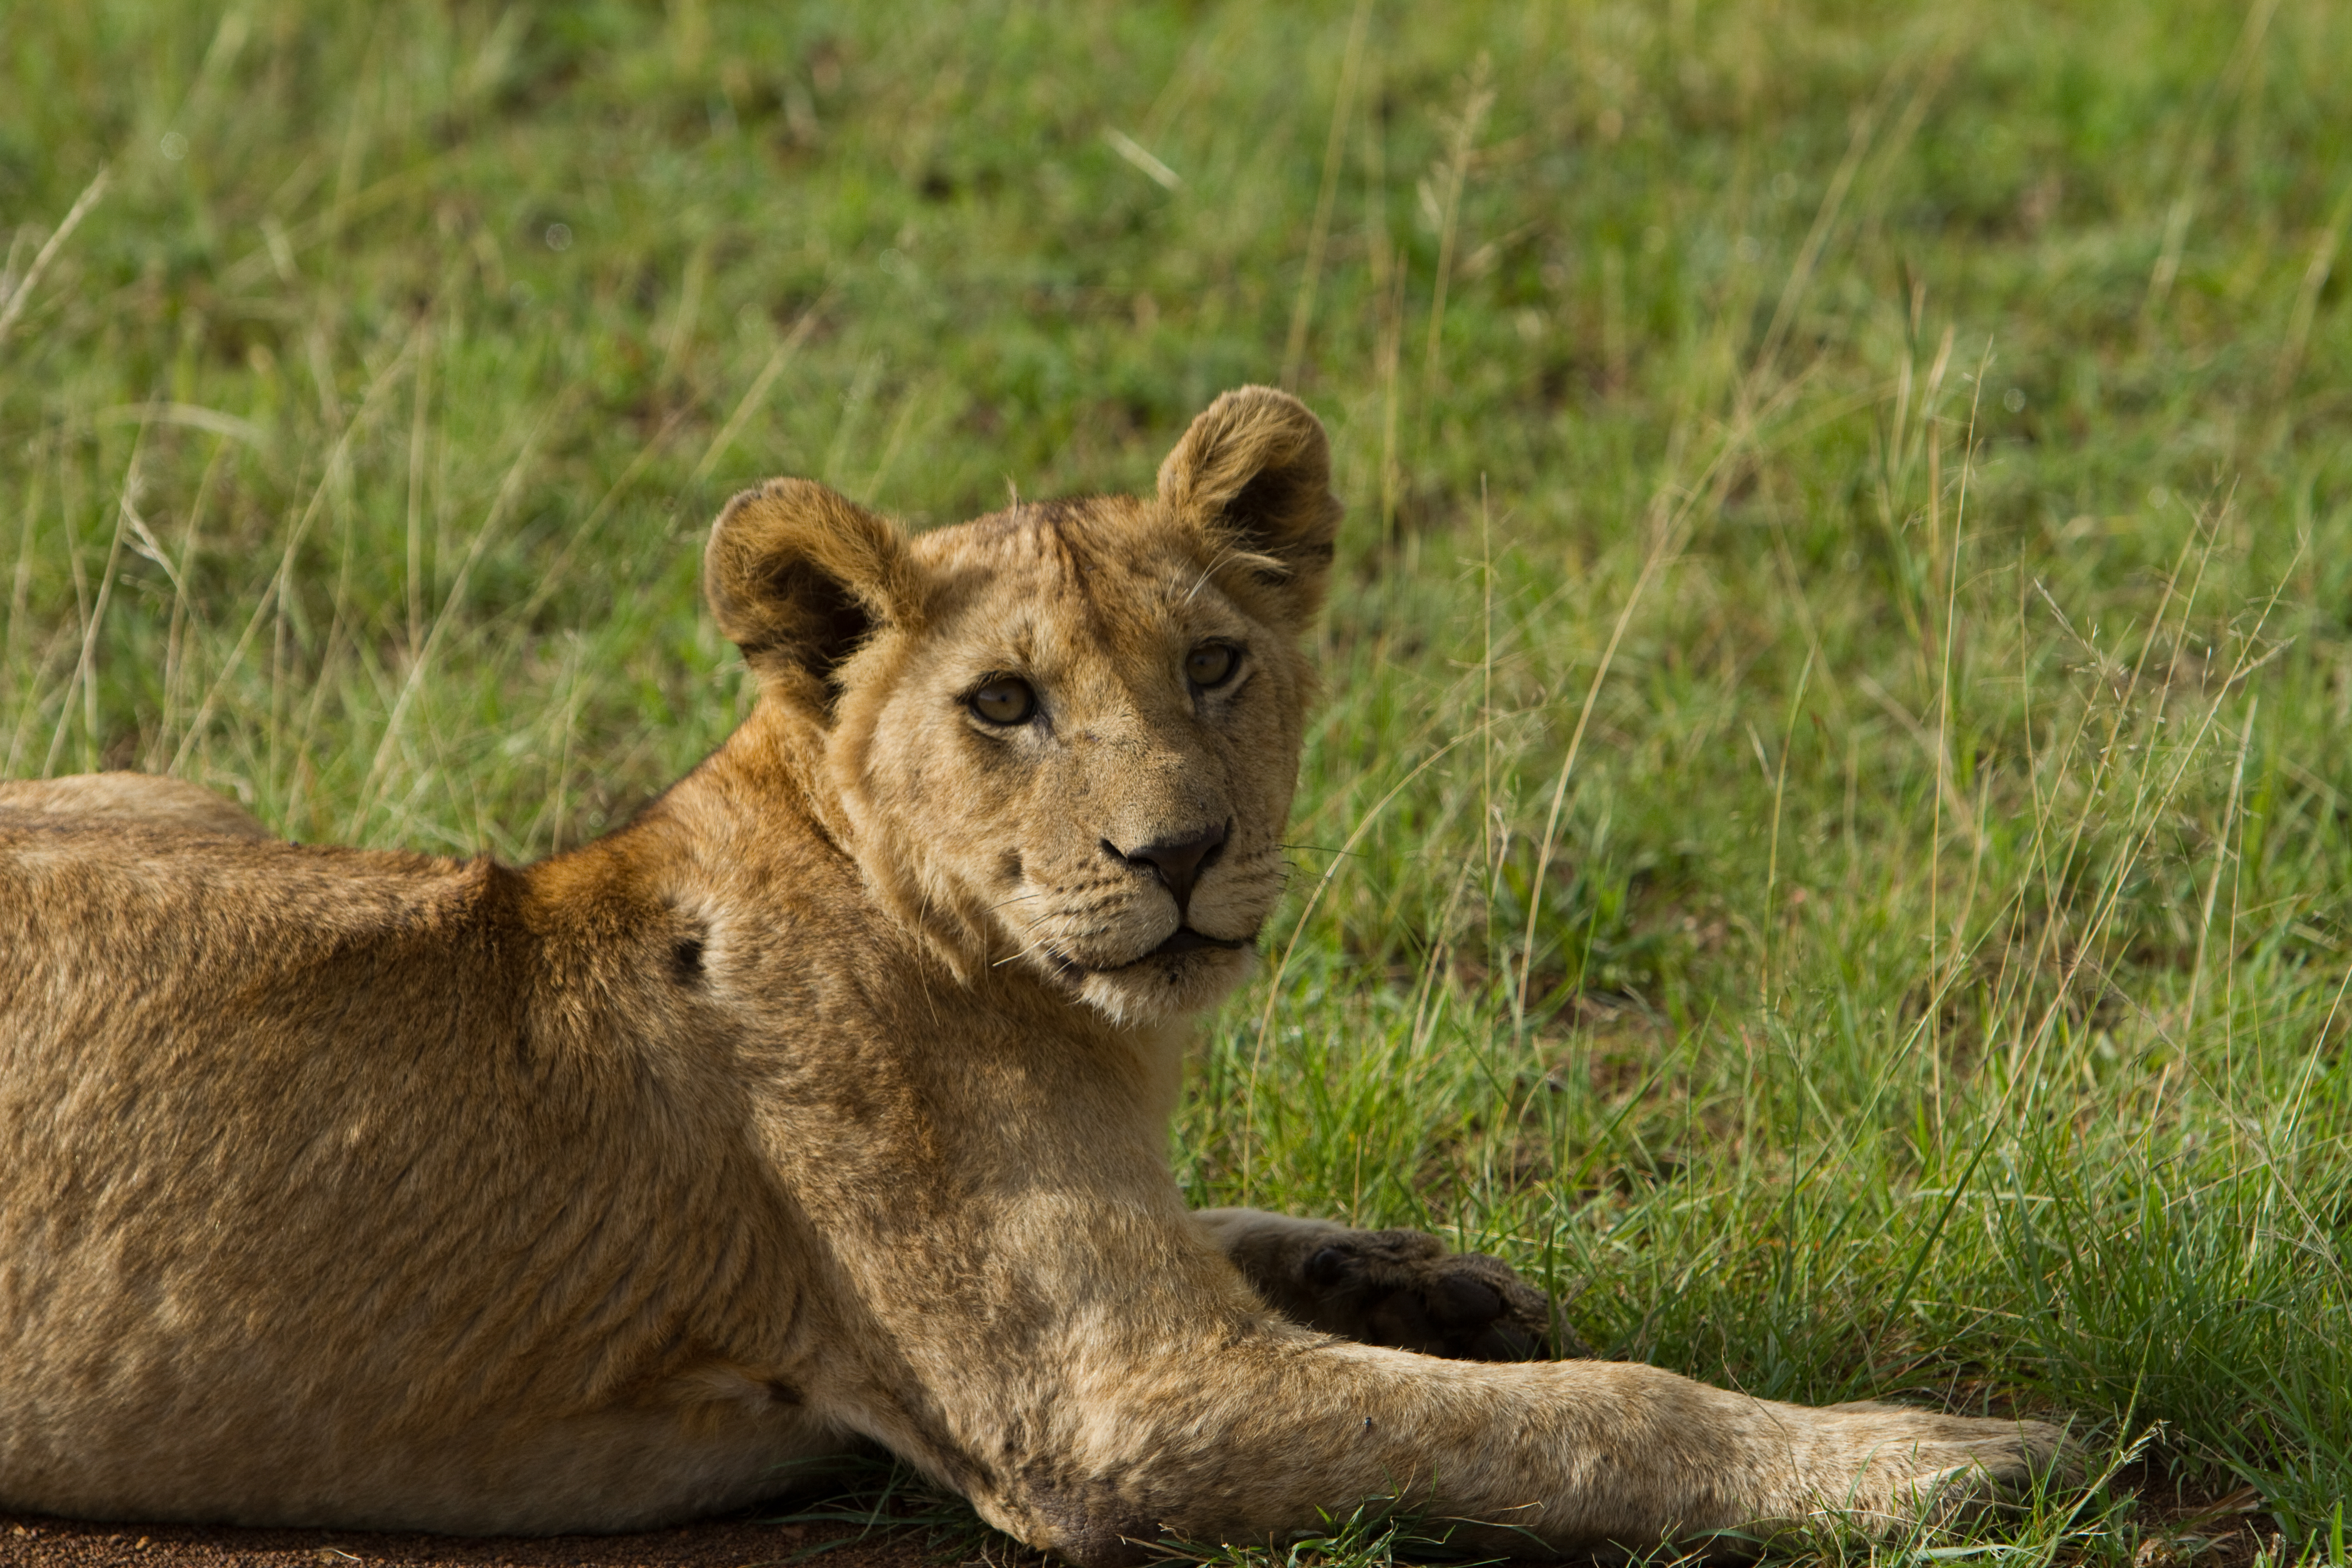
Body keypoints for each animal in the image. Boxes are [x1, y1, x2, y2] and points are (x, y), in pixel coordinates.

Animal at [0, 387, 2065, 1562]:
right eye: (1006, 704)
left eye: (1215, 665)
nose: (1179, 855)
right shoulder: (1109, 1413)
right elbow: (1587, 1420)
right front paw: (1936, 1463)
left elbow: (1278, 1253)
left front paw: (1428, 1280)